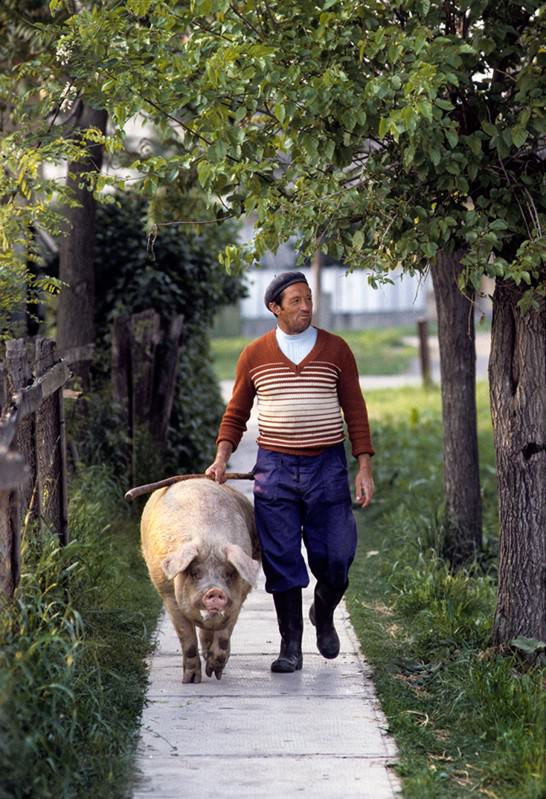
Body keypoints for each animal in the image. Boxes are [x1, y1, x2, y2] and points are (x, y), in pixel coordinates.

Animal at [140, 478, 260, 684]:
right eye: (195, 573)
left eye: (228, 574)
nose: (214, 591)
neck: (209, 539)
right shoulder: (169, 597)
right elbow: (187, 639)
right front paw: (190, 681)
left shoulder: (239, 599)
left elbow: (223, 637)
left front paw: (214, 671)